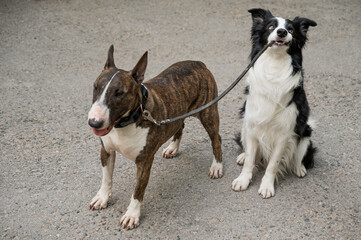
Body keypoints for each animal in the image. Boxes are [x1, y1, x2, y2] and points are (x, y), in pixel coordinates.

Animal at [87, 46, 222, 230]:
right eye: (96, 87)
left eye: (119, 93)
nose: (94, 122)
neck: (126, 122)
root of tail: (198, 63)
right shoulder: (106, 150)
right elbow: (106, 178)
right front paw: (102, 198)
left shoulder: (144, 162)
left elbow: (138, 190)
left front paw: (132, 215)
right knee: (179, 126)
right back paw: (172, 148)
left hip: (208, 113)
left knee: (216, 139)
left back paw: (217, 166)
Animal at [232, 8, 316, 198]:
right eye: (271, 26)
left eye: (291, 30)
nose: (282, 32)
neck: (274, 65)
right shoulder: (252, 125)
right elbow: (250, 159)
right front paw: (243, 180)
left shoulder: (284, 134)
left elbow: (273, 164)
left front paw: (267, 186)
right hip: (244, 126)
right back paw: (242, 156)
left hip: (306, 130)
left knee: (301, 154)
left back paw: (299, 167)